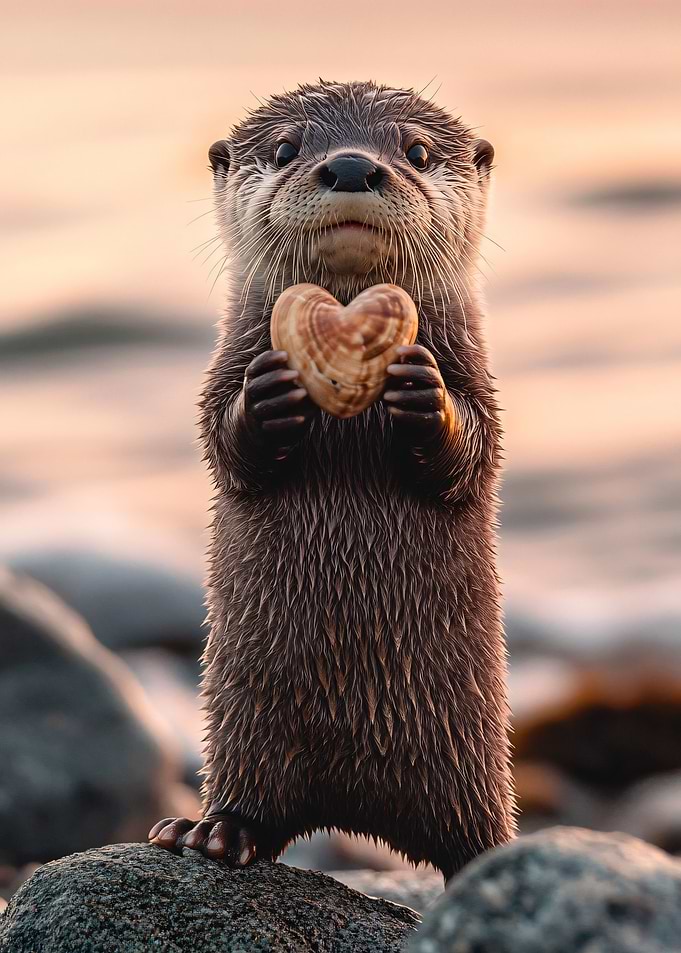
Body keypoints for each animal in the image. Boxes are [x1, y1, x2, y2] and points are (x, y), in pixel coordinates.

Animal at [149, 79, 516, 880]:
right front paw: (267, 398)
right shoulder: (221, 368)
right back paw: (216, 829)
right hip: (248, 731)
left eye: (416, 150)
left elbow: (477, 448)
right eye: (287, 148)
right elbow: (221, 439)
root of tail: (359, 809)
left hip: (470, 758)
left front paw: (425, 397)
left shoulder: (478, 374)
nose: (350, 165)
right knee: (258, 798)